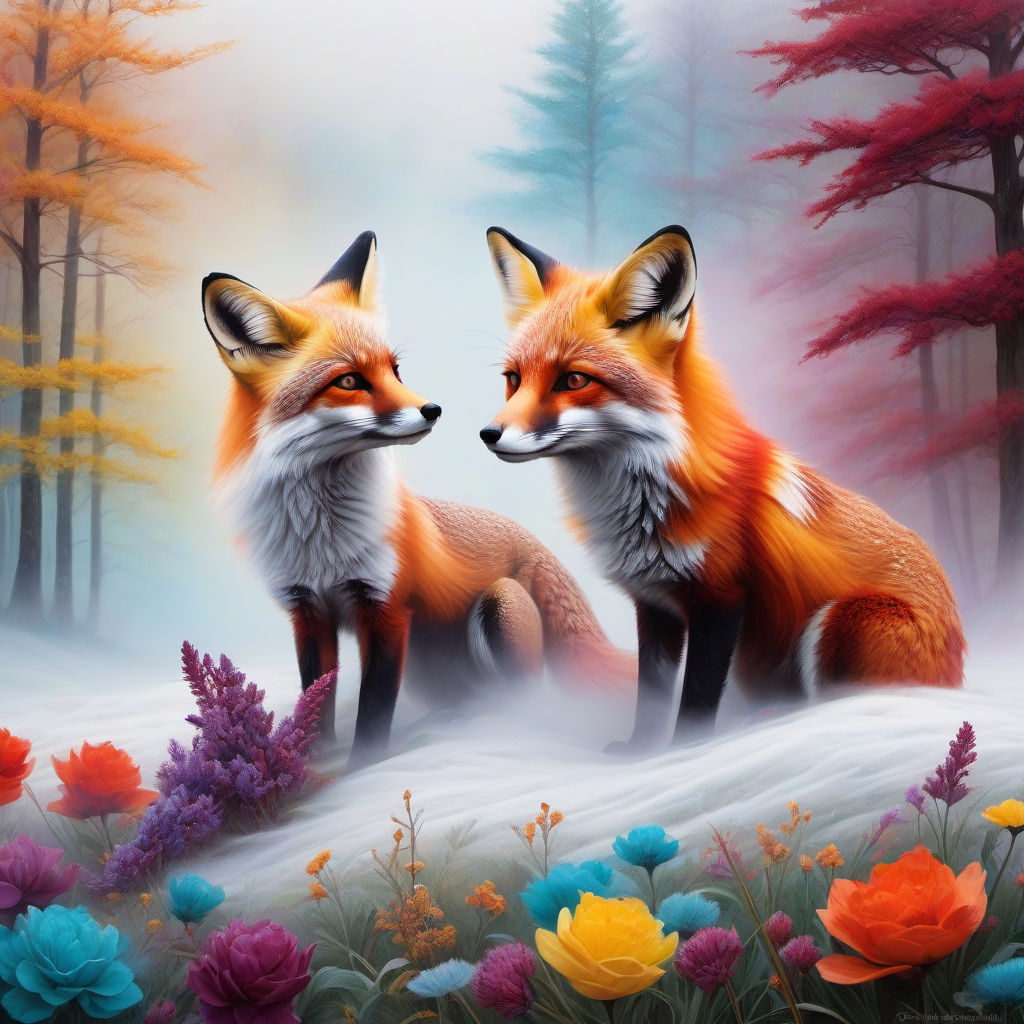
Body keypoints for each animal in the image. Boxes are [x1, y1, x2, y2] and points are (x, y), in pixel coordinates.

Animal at [202, 230, 635, 768]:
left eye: (395, 370)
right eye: (349, 380)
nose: (433, 409)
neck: (321, 539)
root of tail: (534, 543)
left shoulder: (386, 608)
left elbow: (373, 710)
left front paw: (361, 770)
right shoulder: (307, 611)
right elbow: (315, 701)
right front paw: (310, 765)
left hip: (499, 604)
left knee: (524, 699)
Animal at [479, 224, 965, 752]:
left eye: (572, 380)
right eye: (514, 380)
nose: (488, 434)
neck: (646, 502)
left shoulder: (722, 601)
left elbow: (696, 696)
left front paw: (685, 751)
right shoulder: (655, 604)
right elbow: (652, 693)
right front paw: (640, 753)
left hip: (843, 620)